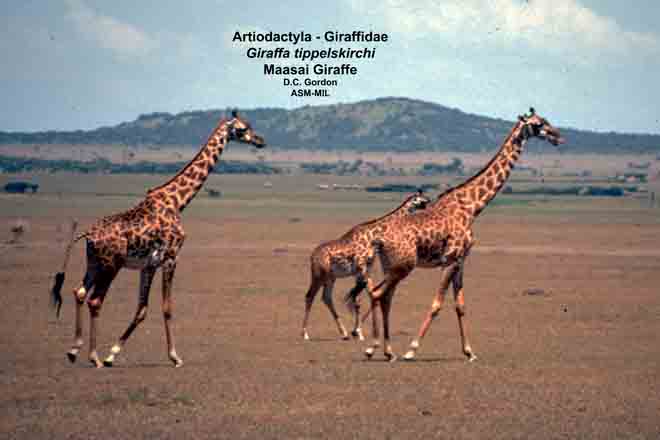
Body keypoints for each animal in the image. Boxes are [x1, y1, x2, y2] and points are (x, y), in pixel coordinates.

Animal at [49, 111, 266, 368]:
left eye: (250, 125)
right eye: (242, 129)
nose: (260, 141)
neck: (177, 202)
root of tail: (88, 235)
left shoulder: (149, 264)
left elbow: (142, 308)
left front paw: (113, 353)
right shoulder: (171, 257)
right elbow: (166, 308)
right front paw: (175, 357)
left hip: (94, 262)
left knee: (79, 292)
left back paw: (74, 350)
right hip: (112, 265)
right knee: (95, 300)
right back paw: (94, 357)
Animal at [301, 190, 431, 341]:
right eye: (424, 200)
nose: (428, 205)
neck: (372, 235)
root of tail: (312, 256)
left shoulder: (365, 270)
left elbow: (364, 297)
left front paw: (359, 333)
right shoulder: (361, 266)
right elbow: (362, 297)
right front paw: (358, 332)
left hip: (330, 277)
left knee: (326, 297)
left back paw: (344, 333)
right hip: (318, 274)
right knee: (309, 296)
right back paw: (305, 334)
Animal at [352, 108, 564, 361]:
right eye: (539, 123)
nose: (558, 136)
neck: (472, 207)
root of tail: (379, 240)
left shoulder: (461, 261)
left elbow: (460, 305)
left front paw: (469, 352)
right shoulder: (451, 259)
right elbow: (437, 304)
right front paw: (412, 349)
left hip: (391, 265)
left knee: (385, 297)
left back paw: (387, 350)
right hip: (403, 266)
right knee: (377, 293)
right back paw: (373, 348)